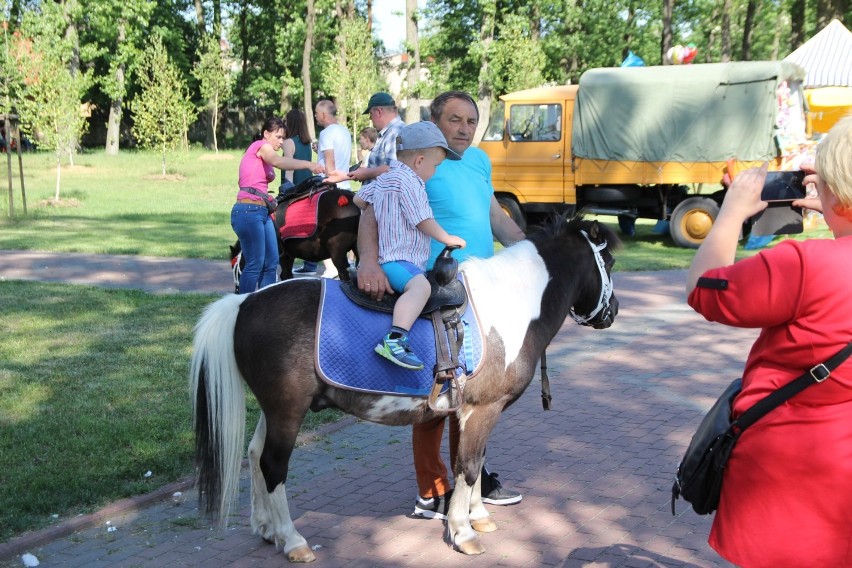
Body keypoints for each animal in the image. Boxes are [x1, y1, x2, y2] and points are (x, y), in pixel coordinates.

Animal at [191, 213, 620, 560]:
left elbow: (473, 463)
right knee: (272, 465)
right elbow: (466, 467)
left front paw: (477, 516)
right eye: (610, 262)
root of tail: (244, 303)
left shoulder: (472, 412)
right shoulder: (483, 409)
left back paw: (266, 529)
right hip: (287, 411)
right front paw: (463, 533)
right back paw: (292, 540)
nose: (612, 312)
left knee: (253, 454)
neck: (510, 304)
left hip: (276, 409)